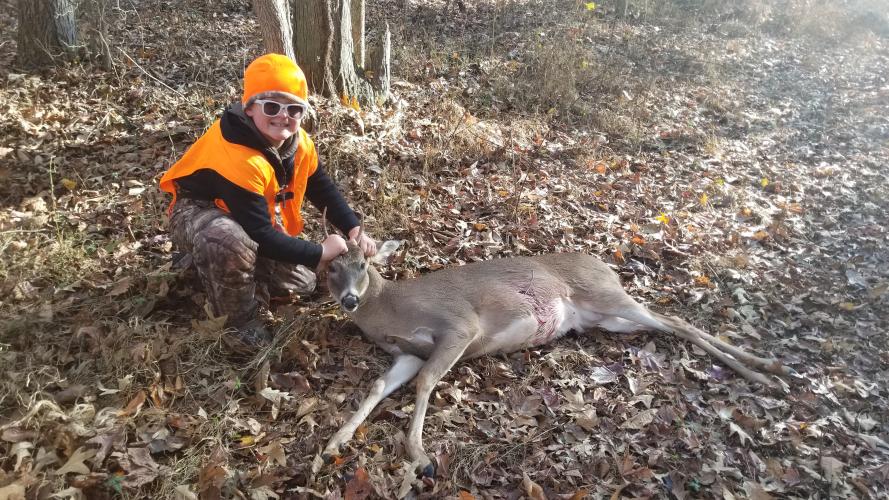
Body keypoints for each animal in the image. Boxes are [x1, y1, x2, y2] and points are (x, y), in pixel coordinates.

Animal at [319, 232, 791, 479]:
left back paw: (767, 372)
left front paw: (420, 455)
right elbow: (380, 384)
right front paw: (334, 443)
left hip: (605, 295)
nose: (349, 300)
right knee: (668, 322)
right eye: (331, 268)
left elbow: (426, 382)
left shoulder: (459, 325)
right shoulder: (408, 352)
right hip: (604, 318)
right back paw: (768, 369)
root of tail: (606, 263)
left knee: (677, 321)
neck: (392, 309)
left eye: (364, 265)